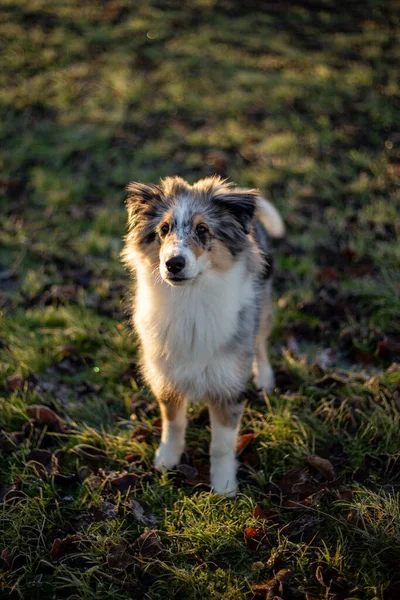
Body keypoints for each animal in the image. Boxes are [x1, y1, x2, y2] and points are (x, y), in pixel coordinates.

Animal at [122, 177, 284, 496]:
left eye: (202, 230)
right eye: (163, 229)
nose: (173, 264)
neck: (190, 301)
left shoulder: (227, 386)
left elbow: (221, 445)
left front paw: (224, 487)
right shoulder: (166, 376)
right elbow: (173, 423)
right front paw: (166, 459)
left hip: (262, 305)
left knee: (259, 341)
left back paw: (264, 377)